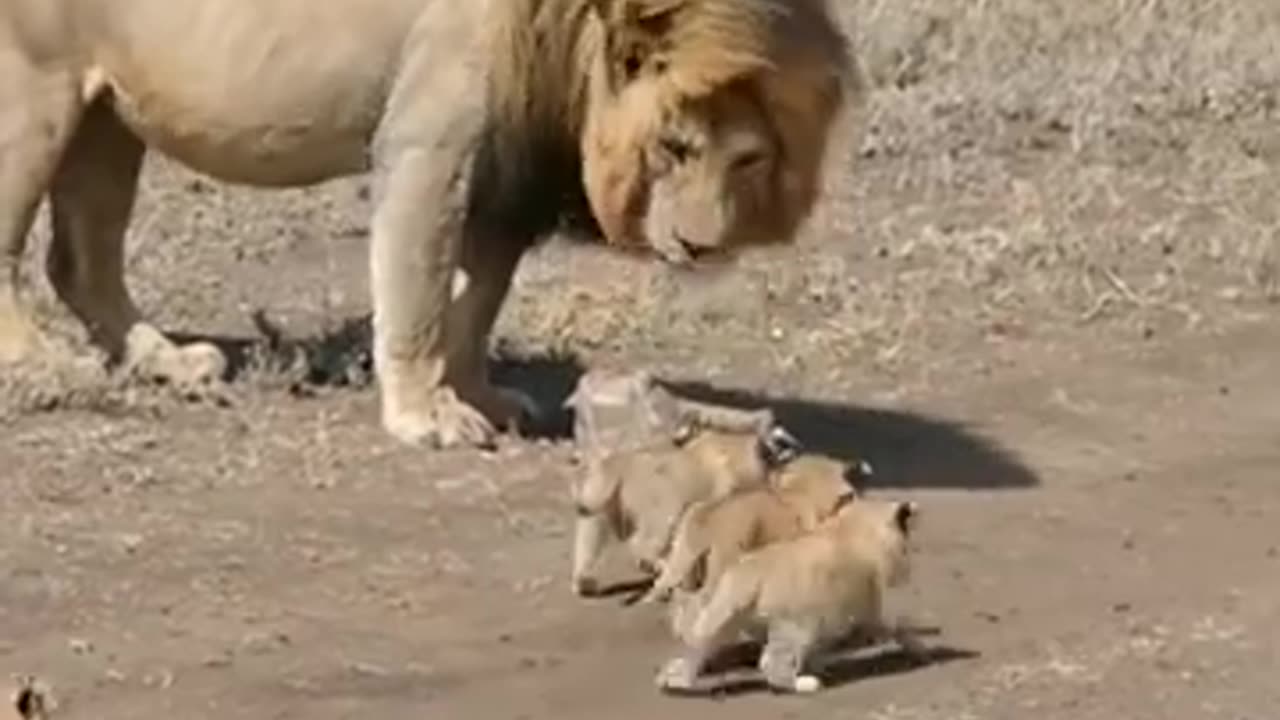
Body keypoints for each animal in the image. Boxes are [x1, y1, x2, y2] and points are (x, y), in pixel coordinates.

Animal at [2, 0, 860, 445]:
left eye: (747, 158)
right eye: (674, 147)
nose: (699, 245)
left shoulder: (503, 167)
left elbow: (478, 300)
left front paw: (479, 395)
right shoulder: (429, 141)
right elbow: (416, 292)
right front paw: (426, 416)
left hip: (111, 114)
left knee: (80, 259)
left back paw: (169, 362)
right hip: (32, 88)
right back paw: (41, 366)